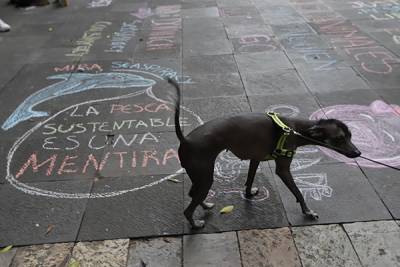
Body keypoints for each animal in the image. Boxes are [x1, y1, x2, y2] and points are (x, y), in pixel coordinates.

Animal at [167, 78, 360, 229]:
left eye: (350, 135)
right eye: (339, 138)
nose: (358, 153)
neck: (295, 129)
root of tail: (186, 139)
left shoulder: (255, 159)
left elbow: (250, 179)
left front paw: (249, 193)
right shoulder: (283, 170)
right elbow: (298, 192)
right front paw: (308, 211)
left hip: (199, 177)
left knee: (193, 194)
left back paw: (206, 205)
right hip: (205, 177)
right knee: (188, 208)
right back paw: (195, 223)